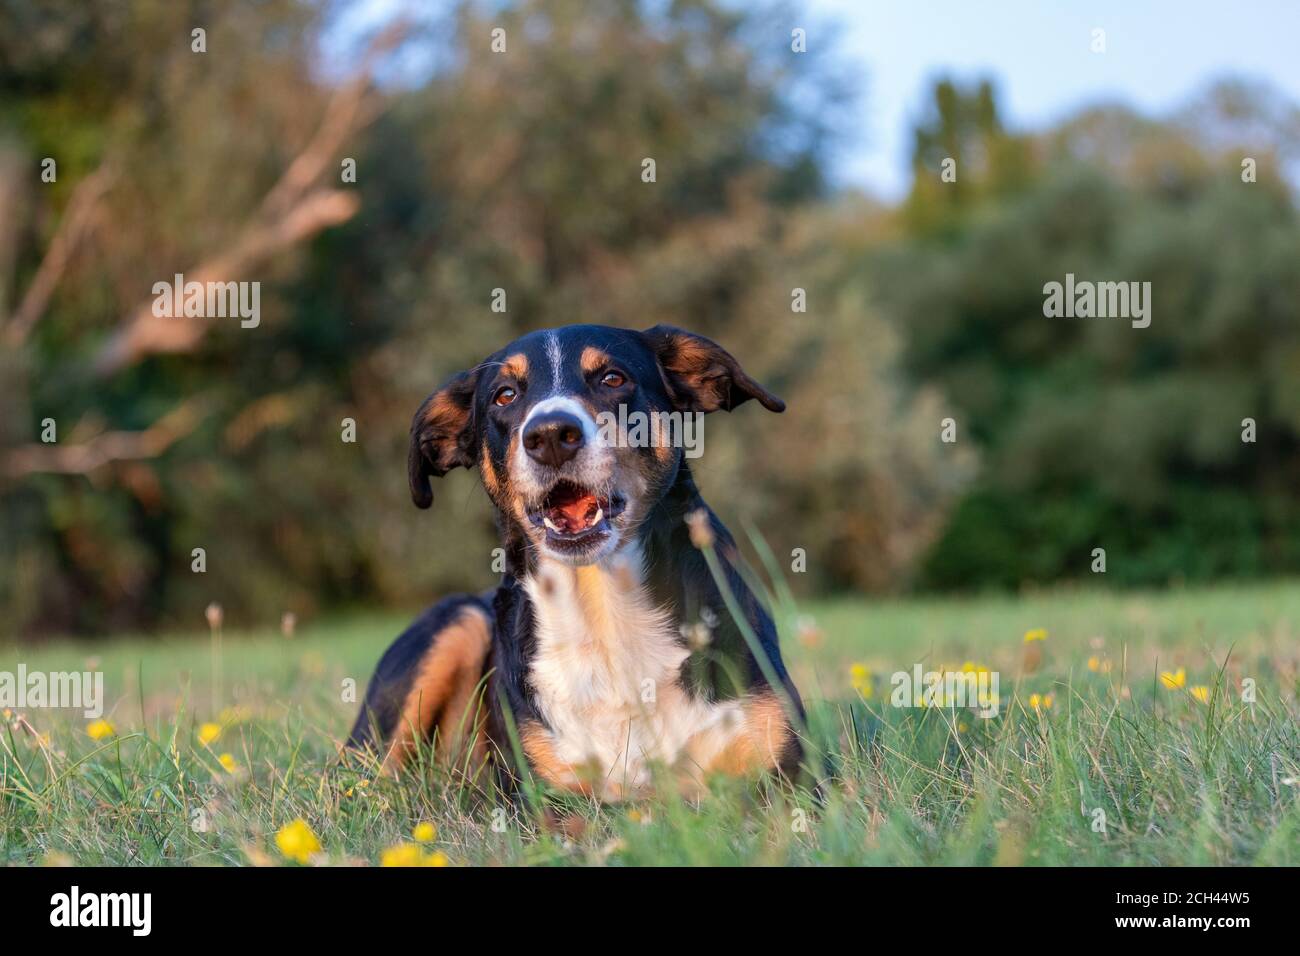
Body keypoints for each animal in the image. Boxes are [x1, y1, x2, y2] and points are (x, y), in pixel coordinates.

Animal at [351, 325, 806, 796]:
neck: (603, 605)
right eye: (504, 395)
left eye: (612, 378)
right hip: (457, 623)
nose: (550, 435)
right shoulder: (542, 796)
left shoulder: (791, 773)